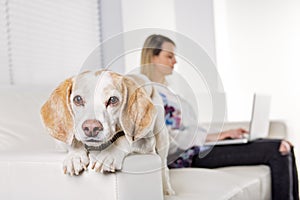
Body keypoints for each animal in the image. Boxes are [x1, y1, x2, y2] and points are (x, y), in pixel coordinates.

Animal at [41, 69, 175, 195]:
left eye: (113, 100)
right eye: (78, 99)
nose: (91, 128)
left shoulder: (147, 142)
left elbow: (124, 138)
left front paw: (109, 154)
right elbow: (74, 141)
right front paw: (75, 156)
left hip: (161, 137)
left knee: (164, 166)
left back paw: (167, 189)